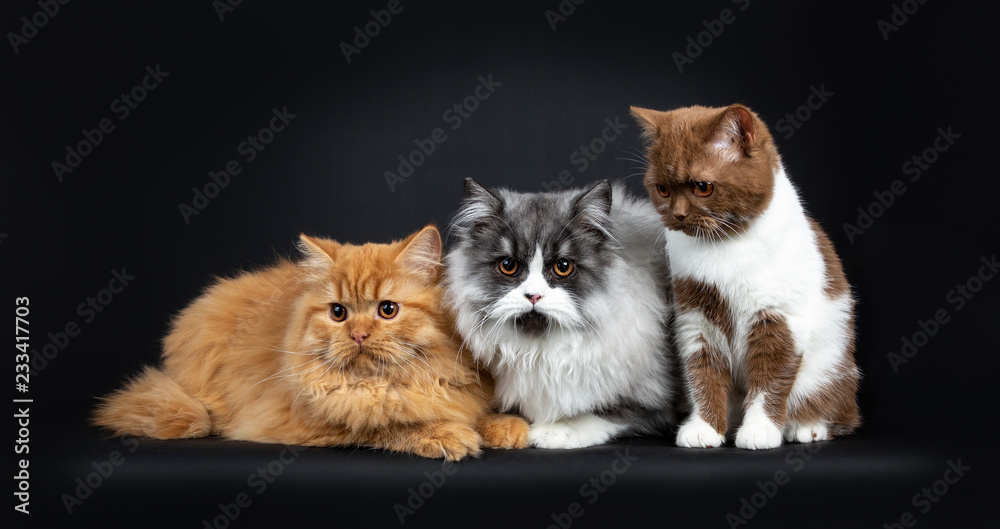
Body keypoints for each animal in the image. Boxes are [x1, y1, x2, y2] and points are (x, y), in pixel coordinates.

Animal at [93, 225, 528, 460]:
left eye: (388, 309)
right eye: (338, 313)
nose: (358, 335)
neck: (385, 385)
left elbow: (468, 408)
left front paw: (503, 426)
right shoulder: (303, 421)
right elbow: (386, 425)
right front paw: (445, 434)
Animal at [632, 104, 860, 450]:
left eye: (703, 187)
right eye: (663, 189)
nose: (678, 215)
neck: (725, 247)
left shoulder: (778, 318)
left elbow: (770, 377)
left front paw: (760, 430)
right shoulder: (696, 316)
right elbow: (702, 372)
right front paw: (705, 428)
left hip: (830, 369)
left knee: (839, 410)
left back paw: (807, 427)